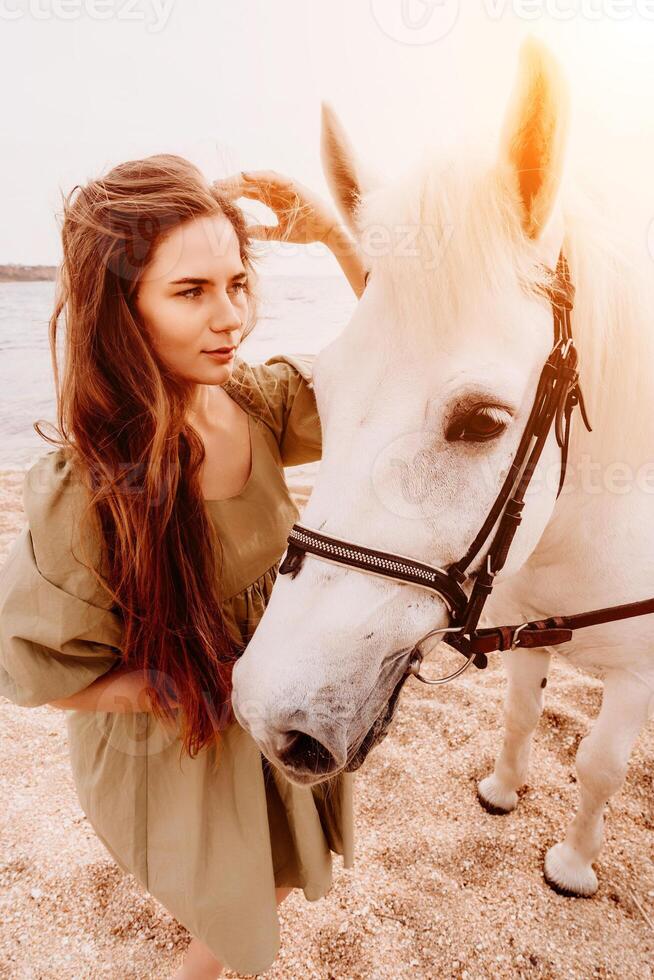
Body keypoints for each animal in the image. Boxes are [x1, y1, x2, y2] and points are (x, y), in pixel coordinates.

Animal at [234, 38, 654, 896]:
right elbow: (523, 712)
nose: (268, 713)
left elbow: (599, 766)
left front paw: (572, 866)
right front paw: (502, 790)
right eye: (324, 392)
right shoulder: (528, 629)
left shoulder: (638, 678)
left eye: (484, 422)